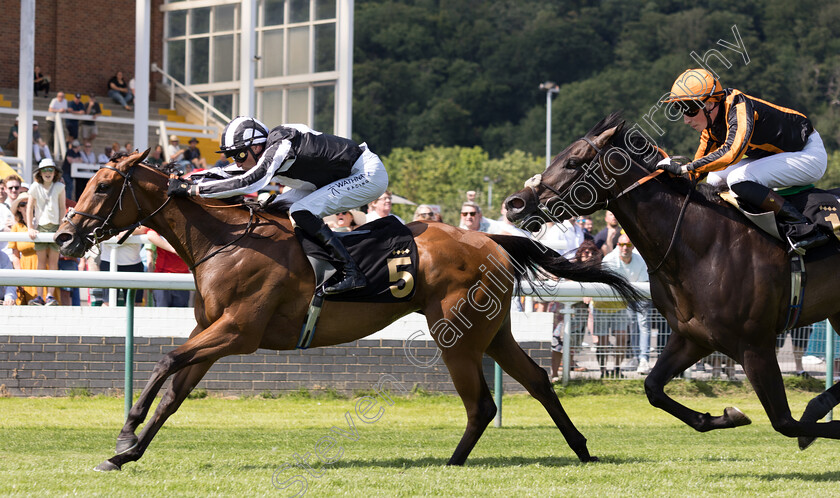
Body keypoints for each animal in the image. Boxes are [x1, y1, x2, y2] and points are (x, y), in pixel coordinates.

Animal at [54, 151, 644, 470]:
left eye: (102, 186)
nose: (64, 236)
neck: (225, 240)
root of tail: (492, 241)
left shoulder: (238, 331)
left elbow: (165, 362)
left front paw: (125, 434)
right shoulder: (214, 331)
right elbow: (175, 392)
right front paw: (126, 453)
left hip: (456, 333)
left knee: (482, 404)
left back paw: (452, 463)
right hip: (491, 331)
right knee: (539, 382)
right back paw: (581, 449)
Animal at [506, 114, 840, 452]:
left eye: (573, 162)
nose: (514, 203)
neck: (703, 245)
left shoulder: (755, 345)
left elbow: (784, 421)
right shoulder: (692, 337)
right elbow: (653, 387)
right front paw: (726, 416)